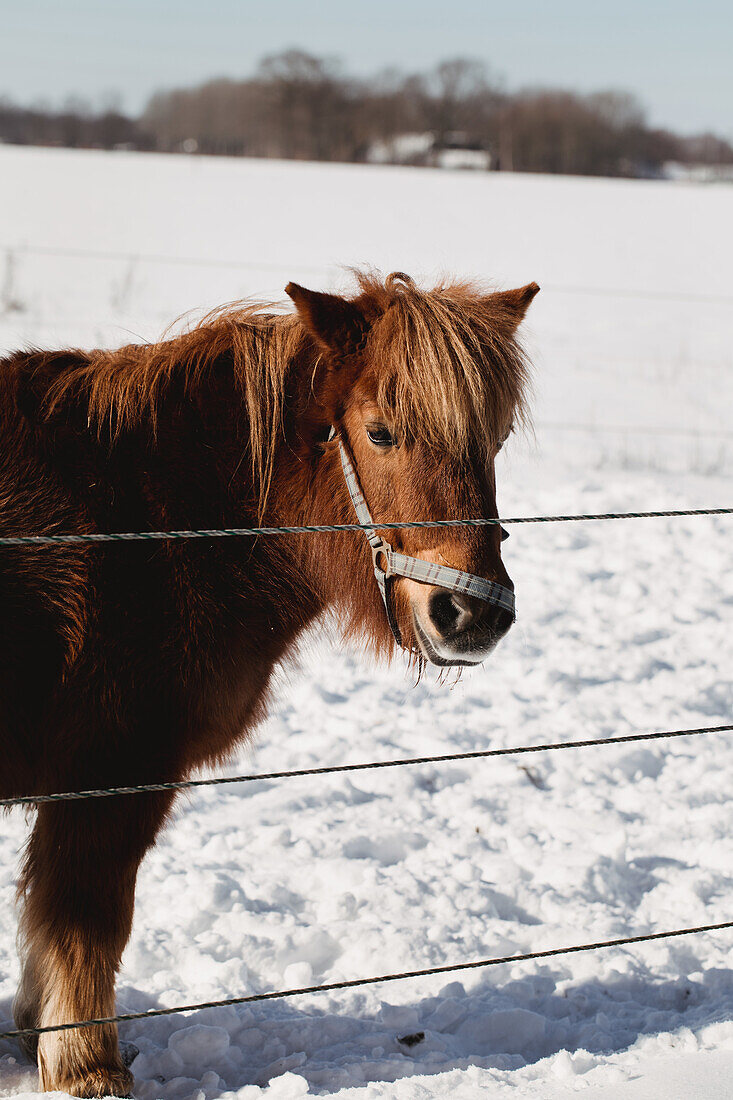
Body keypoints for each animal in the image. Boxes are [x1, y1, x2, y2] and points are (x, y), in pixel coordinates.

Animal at [0, 270, 537, 1095]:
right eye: (380, 432)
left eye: (496, 438)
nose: (471, 613)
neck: (152, 514)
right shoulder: (112, 778)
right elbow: (86, 925)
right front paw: (88, 1068)